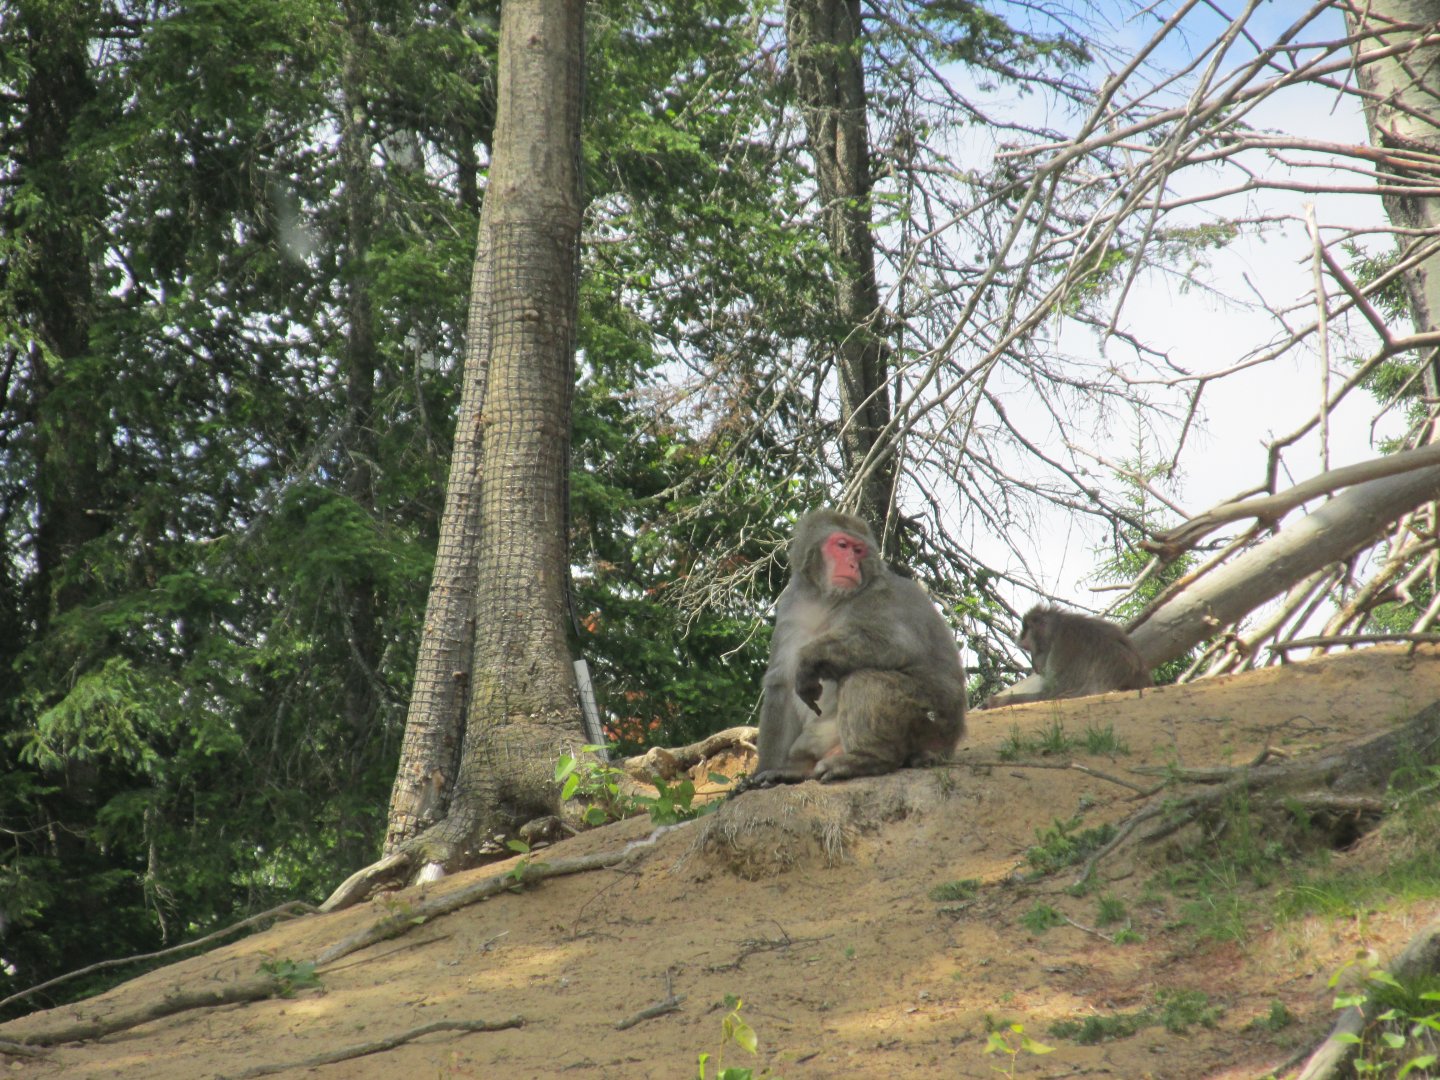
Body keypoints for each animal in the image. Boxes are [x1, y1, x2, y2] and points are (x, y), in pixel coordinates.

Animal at [750, 509, 967, 785]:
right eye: (842, 546)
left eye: (859, 550)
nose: (852, 565)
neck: (825, 598)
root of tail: (950, 744)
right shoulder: (790, 604)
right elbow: (781, 684)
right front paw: (763, 771)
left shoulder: (880, 594)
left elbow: (899, 643)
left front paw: (810, 659)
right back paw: (796, 771)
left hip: (935, 719)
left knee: (866, 679)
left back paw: (866, 759)